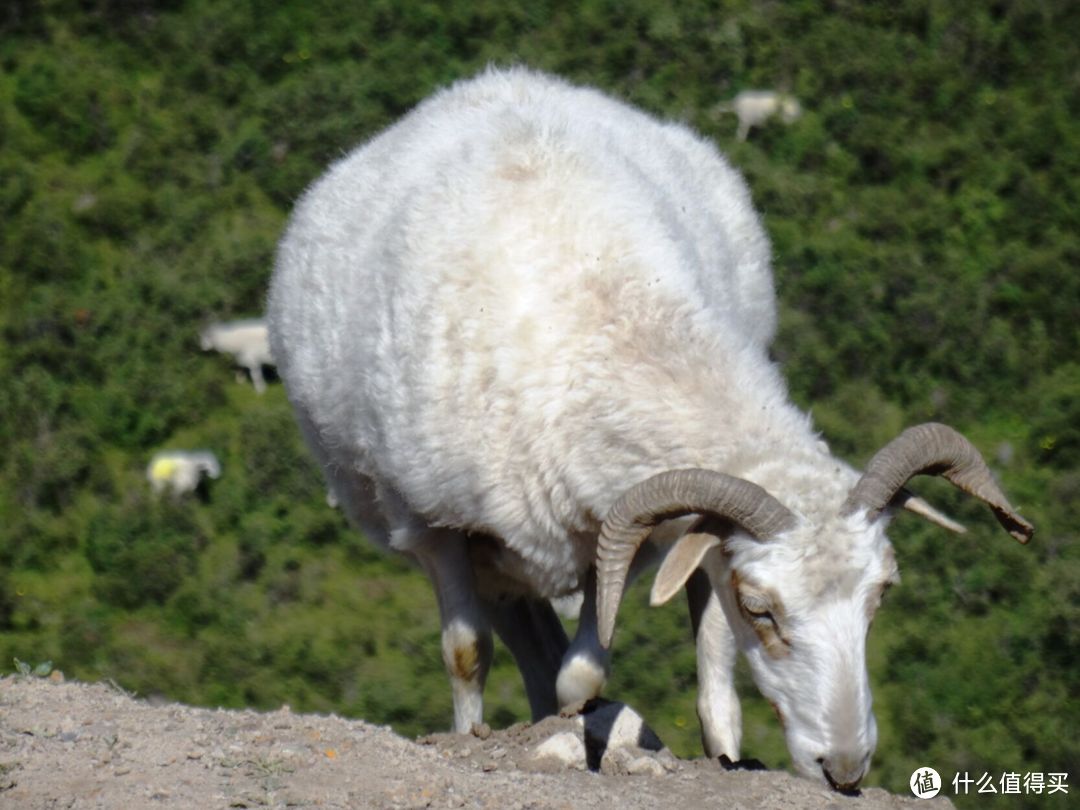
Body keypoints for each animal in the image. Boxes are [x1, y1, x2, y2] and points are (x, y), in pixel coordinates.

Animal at [263, 66, 1028, 790]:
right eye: (762, 609)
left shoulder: (632, 530)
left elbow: (586, 669)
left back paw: (720, 750)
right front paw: (478, 737)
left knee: (697, 650)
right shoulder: (433, 525)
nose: (846, 768)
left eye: (881, 595)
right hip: (486, 547)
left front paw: (584, 721)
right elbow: (467, 653)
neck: (596, 328)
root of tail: (498, 80)